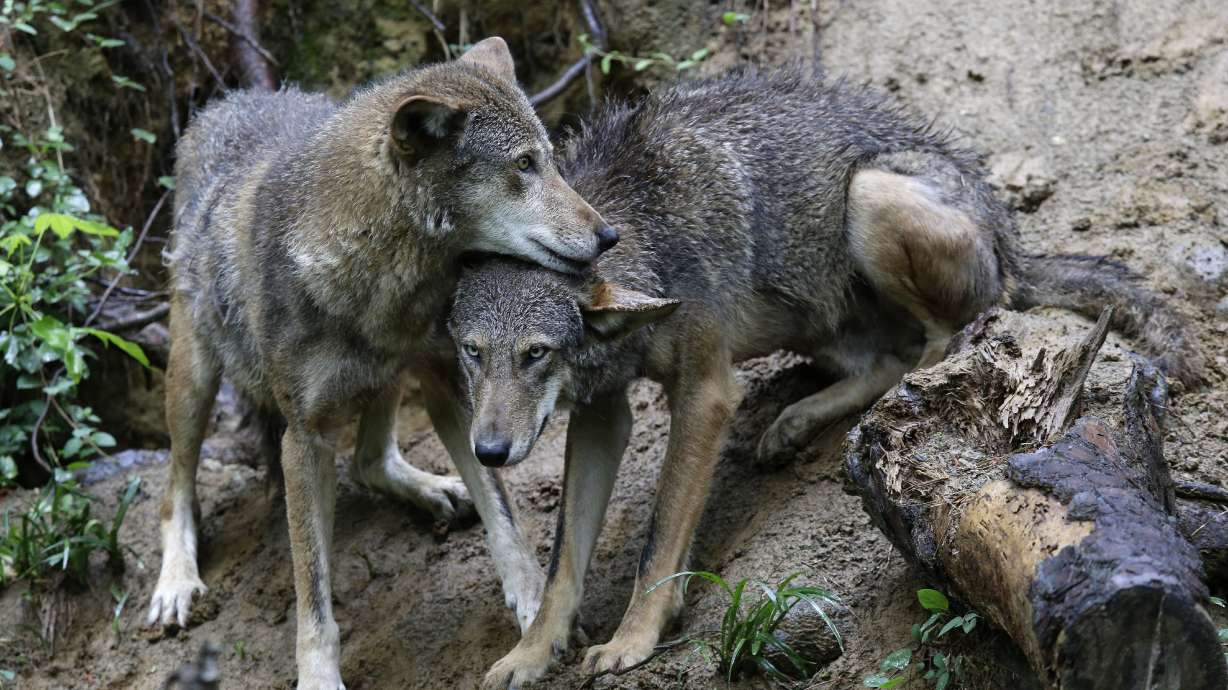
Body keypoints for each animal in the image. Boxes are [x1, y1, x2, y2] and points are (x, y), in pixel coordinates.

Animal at [147, 38, 618, 690]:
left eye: (549, 159)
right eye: (524, 165)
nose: (609, 234)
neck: (377, 283)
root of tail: (225, 102)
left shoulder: (451, 381)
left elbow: (504, 515)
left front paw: (532, 611)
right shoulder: (305, 437)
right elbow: (313, 595)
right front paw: (319, 678)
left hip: (391, 375)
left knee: (370, 460)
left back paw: (434, 489)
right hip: (193, 378)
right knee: (175, 487)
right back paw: (175, 583)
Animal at [441, 66, 1205, 688]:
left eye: (536, 354)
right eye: (473, 354)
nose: (489, 453)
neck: (642, 230)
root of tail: (1007, 232)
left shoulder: (705, 392)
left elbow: (657, 542)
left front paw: (632, 640)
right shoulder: (601, 412)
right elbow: (563, 563)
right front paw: (531, 654)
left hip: (870, 198)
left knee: (943, 341)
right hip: (817, 316)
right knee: (886, 358)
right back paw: (795, 421)